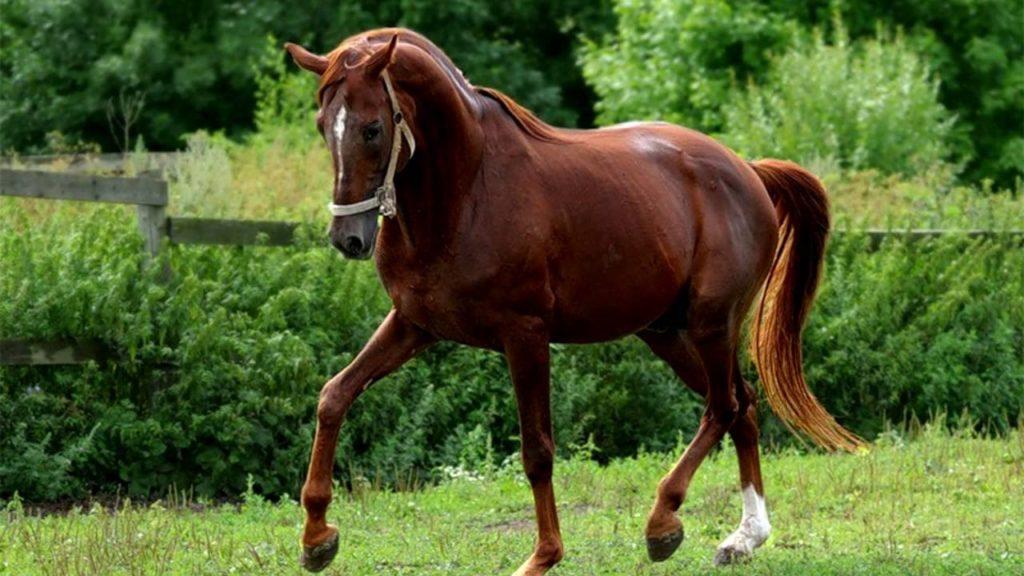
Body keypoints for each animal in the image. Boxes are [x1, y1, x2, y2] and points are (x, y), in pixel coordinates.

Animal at [284, 27, 864, 575]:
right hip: (667, 334)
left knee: (722, 407)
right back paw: (744, 538)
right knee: (743, 404)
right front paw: (317, 539)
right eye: (322, 125)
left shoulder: (525, 336)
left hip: (711, 325)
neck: (467, 192)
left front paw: (543, 556)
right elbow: (333, 396)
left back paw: (663, 524)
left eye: (372, 128)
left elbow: (538, 450)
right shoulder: (413, 324)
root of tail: (747, 170)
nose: (348, 238)